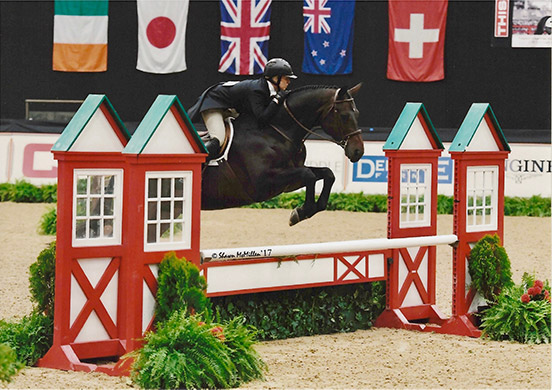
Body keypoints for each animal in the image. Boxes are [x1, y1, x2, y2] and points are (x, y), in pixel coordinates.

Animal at [199, 84, 362, 227]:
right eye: (344, 116)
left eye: (357, 114)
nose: (358, 151)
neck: (274, 133)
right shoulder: (261, 184)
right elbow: (309, 175)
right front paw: (301, 212)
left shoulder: (290, 180)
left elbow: (327, 173)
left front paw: (310, 209)